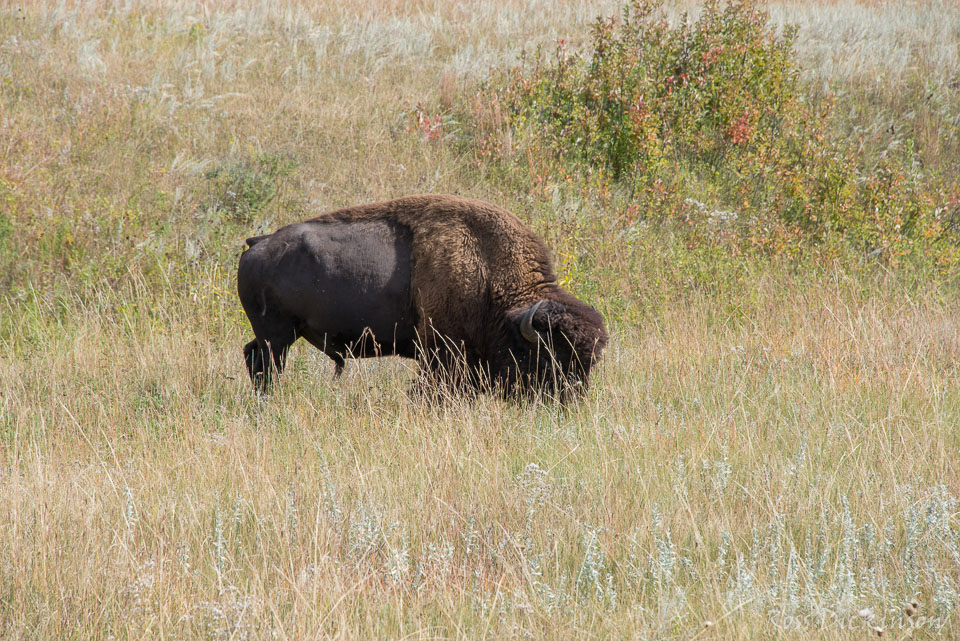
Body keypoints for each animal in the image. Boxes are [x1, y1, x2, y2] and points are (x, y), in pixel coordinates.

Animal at [235, 192, 604, 398]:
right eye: (550, 357)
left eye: (590, 362)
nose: (569, 402)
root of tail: (258, 244)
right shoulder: (443, 351)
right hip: (277, 337)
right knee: (266, 365)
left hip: (280, 335)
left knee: (253, 356)